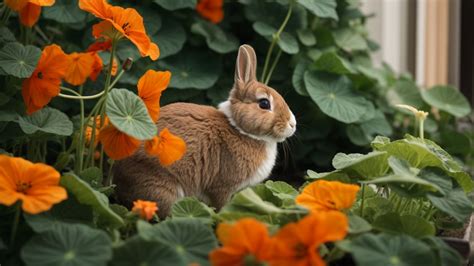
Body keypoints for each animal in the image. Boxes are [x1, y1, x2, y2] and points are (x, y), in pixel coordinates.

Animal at [112, 44, 296, 218]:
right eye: (264, 103)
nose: (292, 124)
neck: (240, 129)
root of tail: (118, 179)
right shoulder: (222, 186)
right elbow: (221, 205)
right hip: (162, 188)